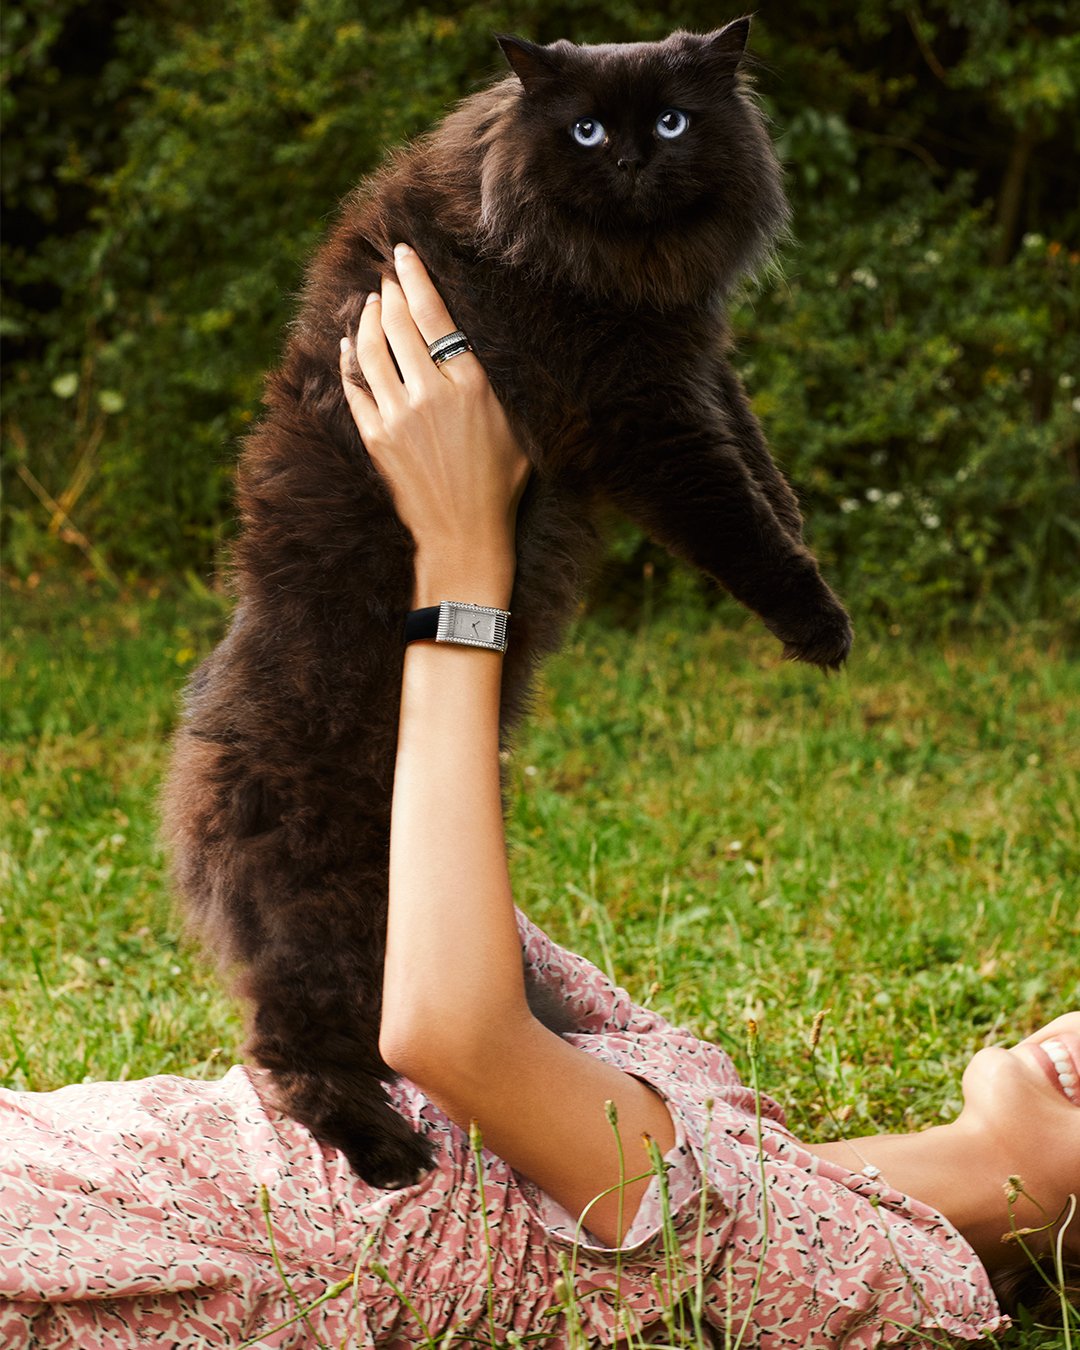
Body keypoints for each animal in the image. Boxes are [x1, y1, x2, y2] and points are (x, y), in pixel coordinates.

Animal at [162, 18, 853, 1189]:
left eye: (675, 120)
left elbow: (757, 456)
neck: (617, 270)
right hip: (347, 920)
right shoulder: (637, 413)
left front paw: (803, 526)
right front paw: (819, 623)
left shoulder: (690, 363)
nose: (634, 158)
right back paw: (386, 1154)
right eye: (585, 130)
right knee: (291, 1053)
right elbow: (736, 519)